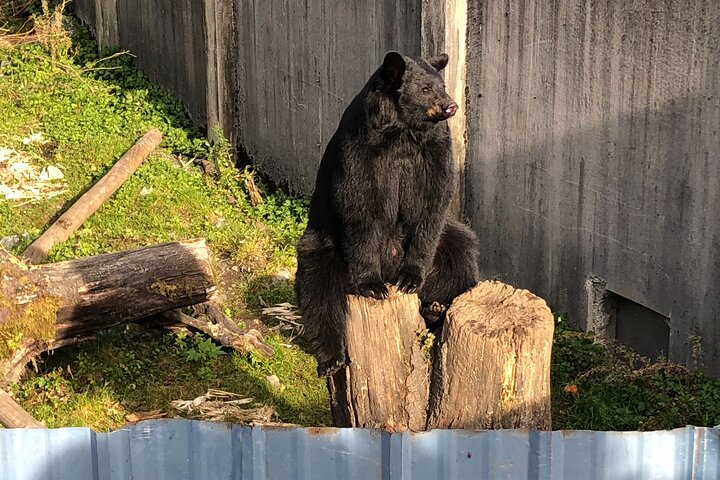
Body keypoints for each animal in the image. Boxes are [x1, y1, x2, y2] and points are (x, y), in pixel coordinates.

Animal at [295, 51, 480, 376]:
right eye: (425, 89)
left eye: (442, 86)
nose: (451, 105)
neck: (402, 134)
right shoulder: (361, 152)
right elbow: (361, 208)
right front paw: (372, 285)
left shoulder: (434, 153)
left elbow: (432, 205)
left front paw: (410, 278)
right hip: (323, 246)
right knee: (318, 291)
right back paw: (332, 358)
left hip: (451, 241)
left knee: (462, 257)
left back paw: (436, 309)